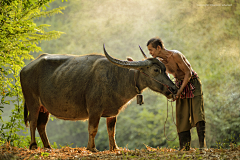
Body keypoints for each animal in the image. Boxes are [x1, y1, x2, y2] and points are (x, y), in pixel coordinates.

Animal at [20, 44, 178, 151]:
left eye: (165, 69)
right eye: (156, 70)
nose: (174, 88)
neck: (117, 78)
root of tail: (25, 68)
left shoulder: (113, 113)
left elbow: (111, 131)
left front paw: (114, 148)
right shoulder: (94, 110)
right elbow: (93, 129)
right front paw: (92, 148)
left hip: (44, 107)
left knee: (41, 125)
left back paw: (48, 147)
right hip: (32, 102)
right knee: (33, 122)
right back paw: (33, 145)